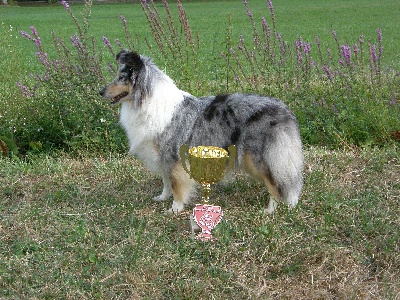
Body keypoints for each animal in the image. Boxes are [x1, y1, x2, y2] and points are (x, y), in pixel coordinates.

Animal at [100, 51, 304, 214]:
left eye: (121, 77)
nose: (100, 91)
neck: (147, 102)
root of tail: (284, 110)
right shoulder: (162, 156)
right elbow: (166, 181)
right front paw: (162, 197)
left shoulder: (174, 157)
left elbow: (176, 185)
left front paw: (175, 209)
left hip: (257, 158)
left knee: (275, 183)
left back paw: (270, 210)